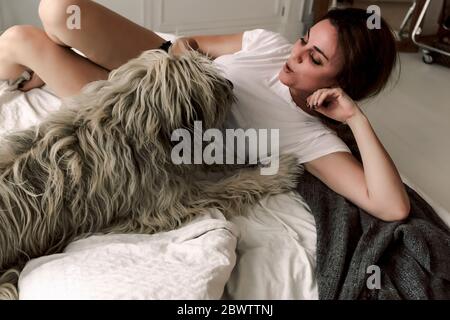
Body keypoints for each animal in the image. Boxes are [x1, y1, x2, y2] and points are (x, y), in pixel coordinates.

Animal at [0, 48, 302, 298]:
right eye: (213, 85)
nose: (230, 85)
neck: (128, 123)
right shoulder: (168, 203)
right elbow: (230, 184)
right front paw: (279, 171)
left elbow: (217, 164)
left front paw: (253, 161)